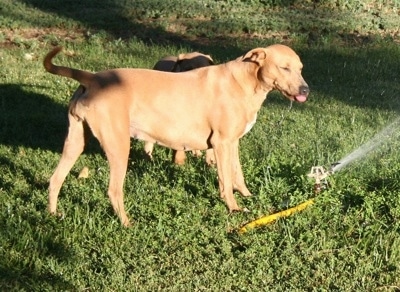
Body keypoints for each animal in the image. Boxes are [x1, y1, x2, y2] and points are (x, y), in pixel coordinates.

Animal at [43, 44, 310, 226]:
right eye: (284, 67)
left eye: (300, 69)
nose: (306, 89)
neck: (246, 79)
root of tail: (93, 78)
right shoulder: (221, 143)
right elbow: (225, 182)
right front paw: (234, 209)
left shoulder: (232, 143)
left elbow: (238, 176)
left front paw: (248, 197)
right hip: (119, 147)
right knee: (113, 190)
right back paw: (127, 223)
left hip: (75, 143)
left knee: (55, 179)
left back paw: (53, 214)